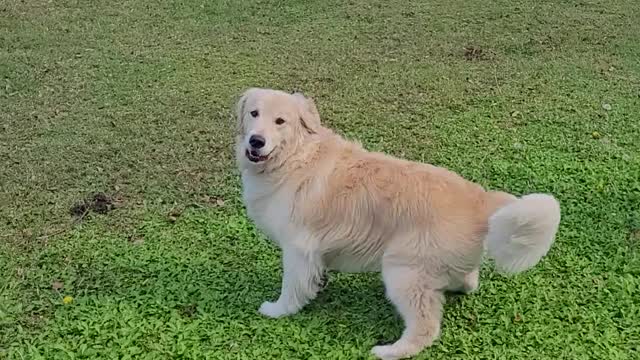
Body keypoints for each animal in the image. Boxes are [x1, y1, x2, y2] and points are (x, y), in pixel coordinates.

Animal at [235, 88, 560, 360]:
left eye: (280, 121)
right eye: (254, 113)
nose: (256, 141)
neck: (296, 156)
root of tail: (479, 199)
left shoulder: (298, 248)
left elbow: (291, 287)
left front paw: (278, 310)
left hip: (403, 271)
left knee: (426, 327)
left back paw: (389, 351)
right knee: (469, 280)